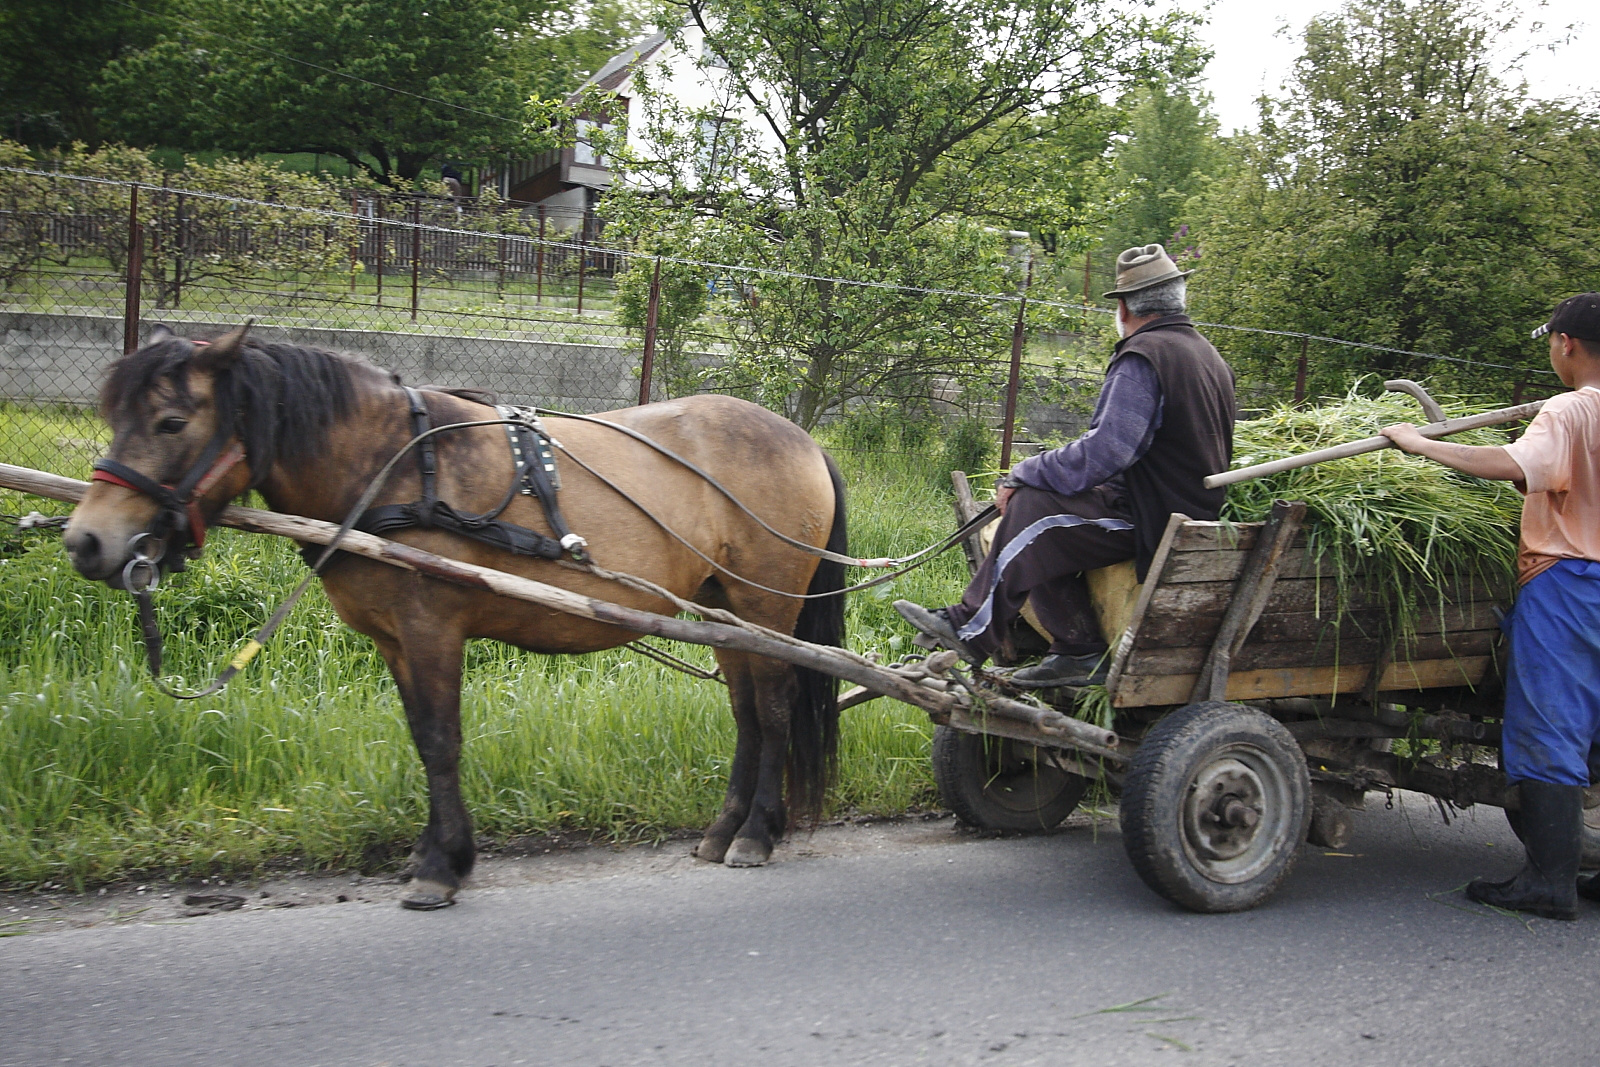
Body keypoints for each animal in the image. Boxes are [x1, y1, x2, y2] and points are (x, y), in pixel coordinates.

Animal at [65, 326, 851, 908]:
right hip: (722, 610)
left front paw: (442, 867)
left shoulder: (431, 629)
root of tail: (804, 438)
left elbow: (442, 741)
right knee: (747, 712)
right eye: (116, 415)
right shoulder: (395, 642)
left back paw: (756, 833)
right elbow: (421, 738)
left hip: (768, 604)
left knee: (774, 710)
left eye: (171, 420)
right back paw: (725, 827)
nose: (86, 540)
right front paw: (434, 849)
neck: (394, 466)